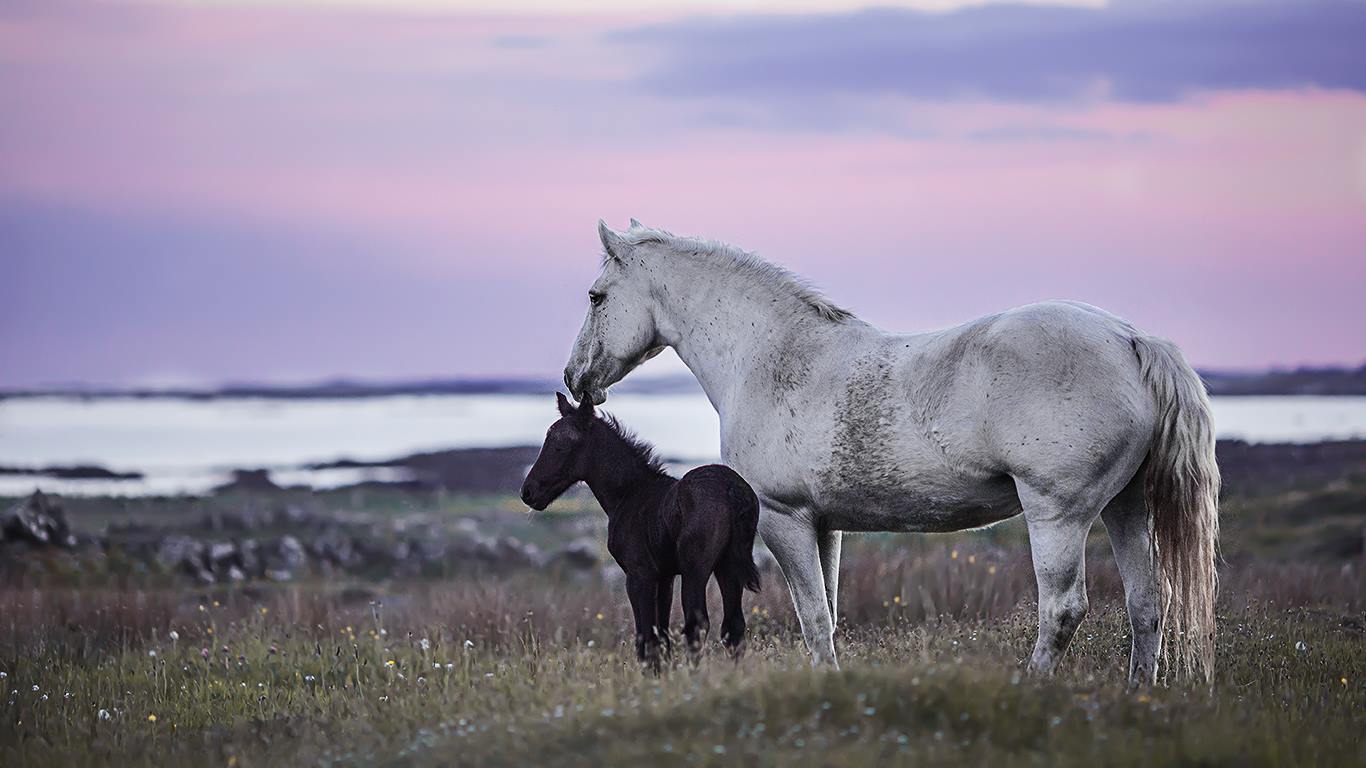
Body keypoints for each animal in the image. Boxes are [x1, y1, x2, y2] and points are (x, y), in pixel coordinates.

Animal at [521, 390, 764, 666]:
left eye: (560, 445)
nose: (528, 492)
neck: (628, 493)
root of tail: (731, 490)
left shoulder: (639, 574)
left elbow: (645, 637)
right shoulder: (665, 577)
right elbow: (662, 635)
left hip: (695, 568)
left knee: (697, 624)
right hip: (728, 566)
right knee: (733, 626)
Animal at [560, 218, 1223, 677]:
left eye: (595, 296)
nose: (574, 379)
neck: (771, 356)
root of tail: (1130, 338)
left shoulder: (783, 519)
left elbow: (813, 618)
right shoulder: (824, 526)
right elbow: (826, 615)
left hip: (1057, 515)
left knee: (1062, 610)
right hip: (1126, 507)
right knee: (1147, 605)